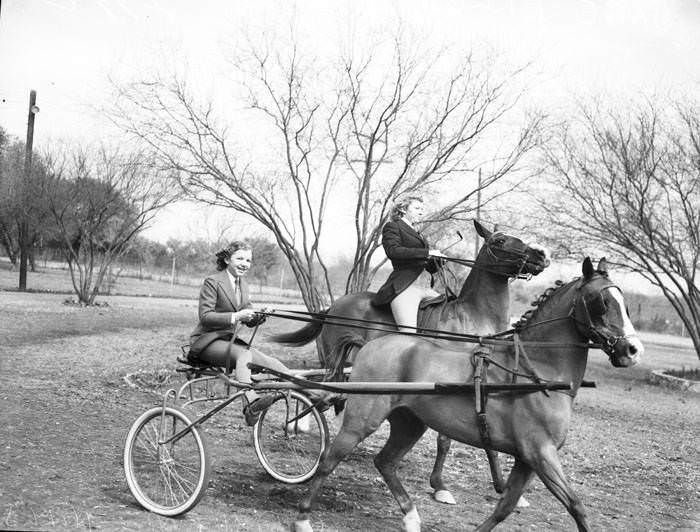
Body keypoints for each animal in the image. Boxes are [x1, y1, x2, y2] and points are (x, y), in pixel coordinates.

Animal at [274, 219, 552, 502]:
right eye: (499, 241)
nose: (541, 255)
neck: (473, 318)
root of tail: (333, 305)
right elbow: (445, 440)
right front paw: (440, 486)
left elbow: (489, 441)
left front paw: (502, 487)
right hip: (335, 362)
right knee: (319, 391)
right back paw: (297, 426)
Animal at [292, 258, 644, 532]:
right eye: (601, 302)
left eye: (625, 304)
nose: (632, 350)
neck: (536, 371)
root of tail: (373, 344)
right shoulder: (540, 453)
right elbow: (576, 506)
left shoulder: (527, 459)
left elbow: (505, 506)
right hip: (363, 419)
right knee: (330, 459)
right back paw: (303, 517)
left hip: (410, 423)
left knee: (385, 462)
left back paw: (411, 517)